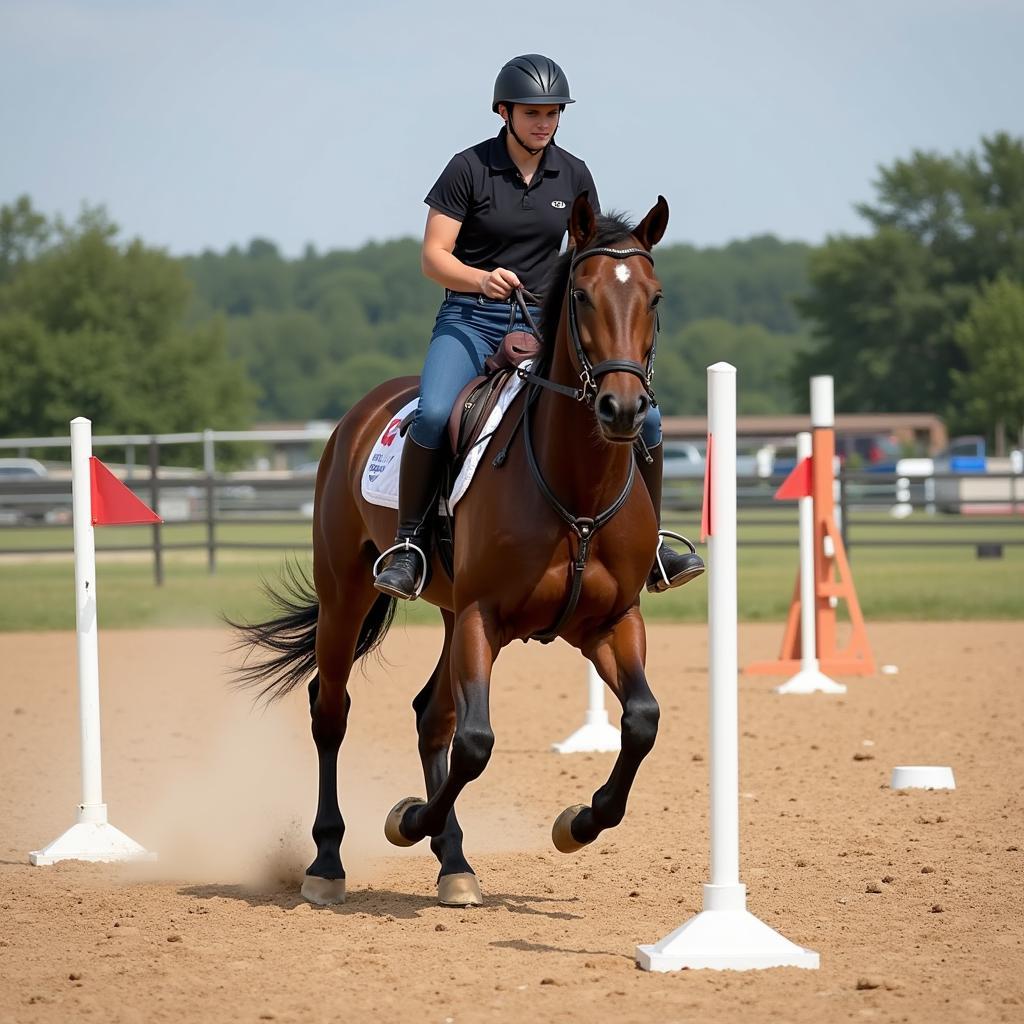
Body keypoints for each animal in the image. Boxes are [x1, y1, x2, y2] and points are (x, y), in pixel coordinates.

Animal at [235, 192, 675, 905]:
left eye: (655, 297)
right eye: (581, 295)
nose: (623, 409)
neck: (574, 489)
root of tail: (357, 415)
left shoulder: (612, 621)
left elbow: (641, 720)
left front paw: (577, 824)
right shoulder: (481, 617)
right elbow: (474, 742)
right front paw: (409, 819)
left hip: (443, 611)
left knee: (428, 714)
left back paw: (455, 863)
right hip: (346, 593)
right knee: (332, 711)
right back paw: (328, 862)